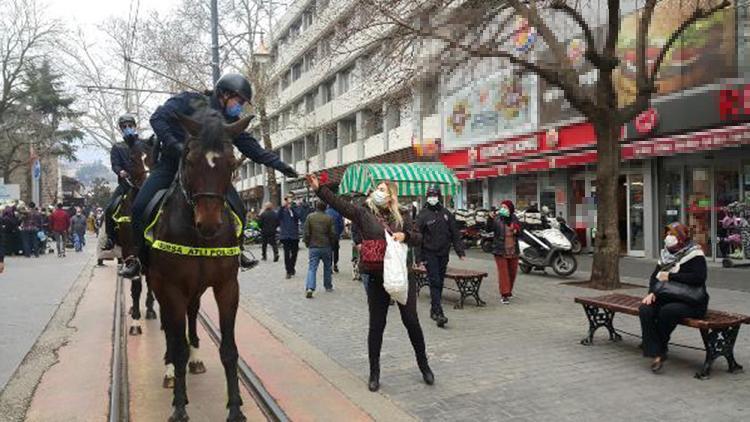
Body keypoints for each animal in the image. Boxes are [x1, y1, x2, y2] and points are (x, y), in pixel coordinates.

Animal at [149, 109, 250, 422]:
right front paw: (180, 406)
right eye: (190, 161)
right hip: (160, 287)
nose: (209, 224)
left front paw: (235, 408)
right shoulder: (171, 289)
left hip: (194, 290)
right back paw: (170, 369)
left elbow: (229, 350)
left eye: (231, 163)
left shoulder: (227, 287)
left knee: (191, 315)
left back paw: (194, 359)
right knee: (170, 332)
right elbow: (177, 344)